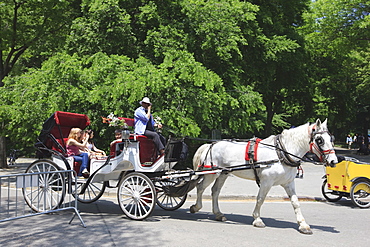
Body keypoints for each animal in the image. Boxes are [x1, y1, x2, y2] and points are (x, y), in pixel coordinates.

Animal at [191, 118, 338, 234]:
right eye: (319, 140)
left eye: (332, 139)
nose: (333, 161)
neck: (281, 152)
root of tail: (211, 144)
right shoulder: (267, 182)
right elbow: (260, 199)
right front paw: (257, 219)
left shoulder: (289, 183)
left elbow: (295, 203)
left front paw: (303, 225)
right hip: (211, 173)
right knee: (200, 187)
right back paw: (196, 207)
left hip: (223, 173)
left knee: (215, 191)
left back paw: (218, 214)